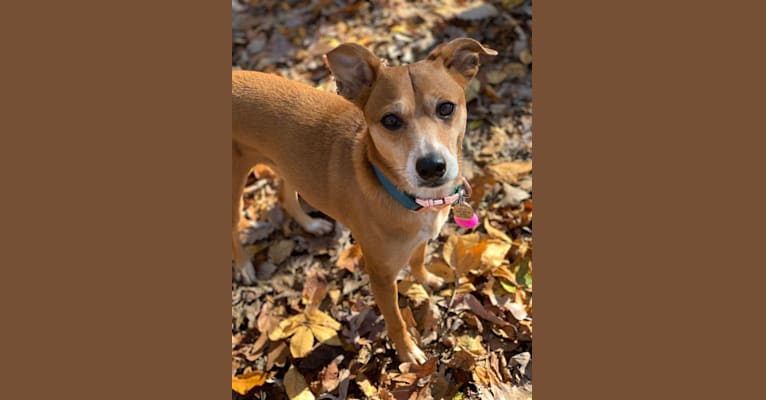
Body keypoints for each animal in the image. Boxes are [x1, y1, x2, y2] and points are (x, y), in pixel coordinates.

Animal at [232, 39, 498, 364]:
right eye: (390, 120)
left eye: (446, 107)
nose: (432, 166)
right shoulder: (380, 277)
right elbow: (395, 320)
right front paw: (407, 352)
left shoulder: (419, 239)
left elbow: (418, 258)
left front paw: (425, 279)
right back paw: (244, 266)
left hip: (288, 165)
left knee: (285, 195)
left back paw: (312, 225)